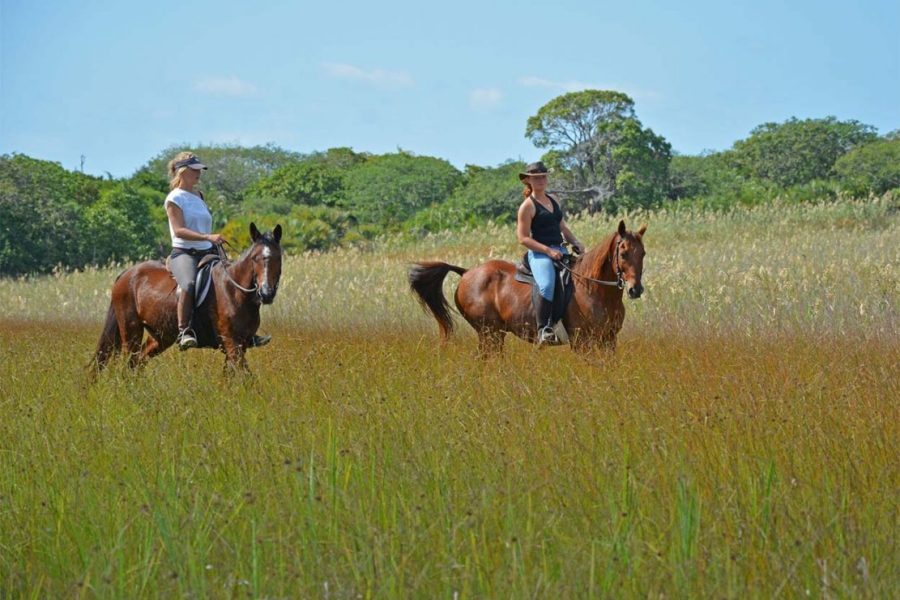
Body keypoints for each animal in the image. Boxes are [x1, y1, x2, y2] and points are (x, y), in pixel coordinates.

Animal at [92, 223, 283, 374]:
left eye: (278, 258)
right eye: (254, 258)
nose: (266, 293)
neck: (234, 290)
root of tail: (126, 274)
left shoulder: (241, 344)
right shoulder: (231, 342)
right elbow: (245, 376)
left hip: (161, 336)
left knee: (139, 362)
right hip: (131, 331)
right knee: (130, 364)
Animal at [408, 220, 646, 356]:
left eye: (643, 253)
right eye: (623, 253)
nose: (635, 290)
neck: (594, 289)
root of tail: (466, 273)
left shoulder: (609, 339)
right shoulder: (582, 342)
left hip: (494, 335)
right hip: (489, 333)